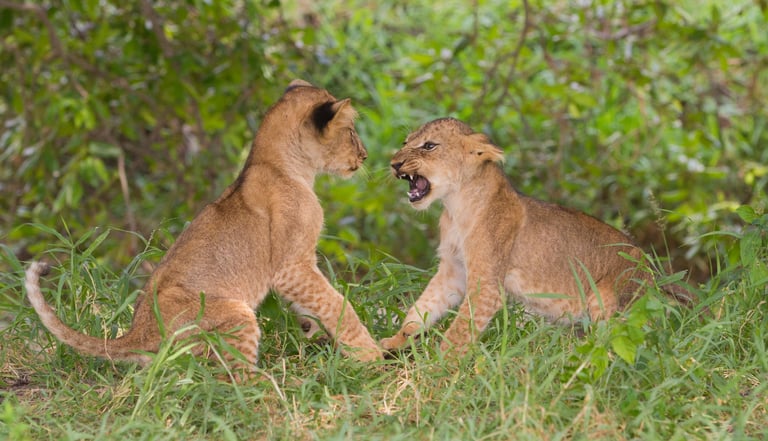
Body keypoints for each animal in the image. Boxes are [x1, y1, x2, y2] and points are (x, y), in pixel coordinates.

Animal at [24, 80, 382, 380]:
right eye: (351, 131)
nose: (365, 155)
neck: (274, 162)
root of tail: (138, 336)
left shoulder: (295, 271)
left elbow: (315, 306)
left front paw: (320, 336)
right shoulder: (291, 266)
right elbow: (337, 304)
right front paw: (370, 355)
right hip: (235, 313)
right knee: (235, 381)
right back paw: (289, 381)